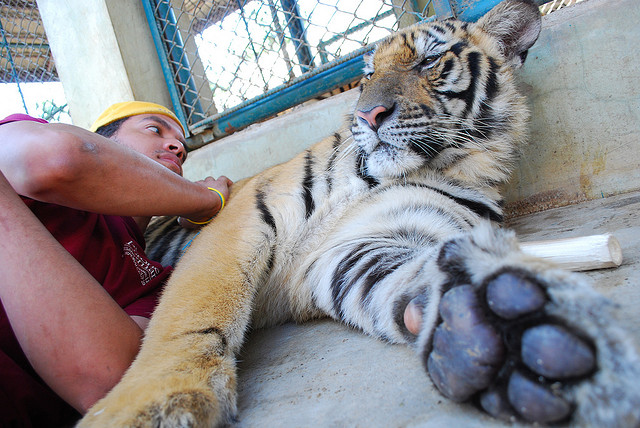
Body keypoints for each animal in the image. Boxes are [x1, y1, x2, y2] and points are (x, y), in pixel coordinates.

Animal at [80, 0, 640, 426]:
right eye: (367, 75)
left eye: (428, 62)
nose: (368, 115)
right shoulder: (241, 219)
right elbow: (194, 313)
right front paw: (151, 405)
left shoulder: (359, 245)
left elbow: (407, 276)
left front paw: (498, 332)